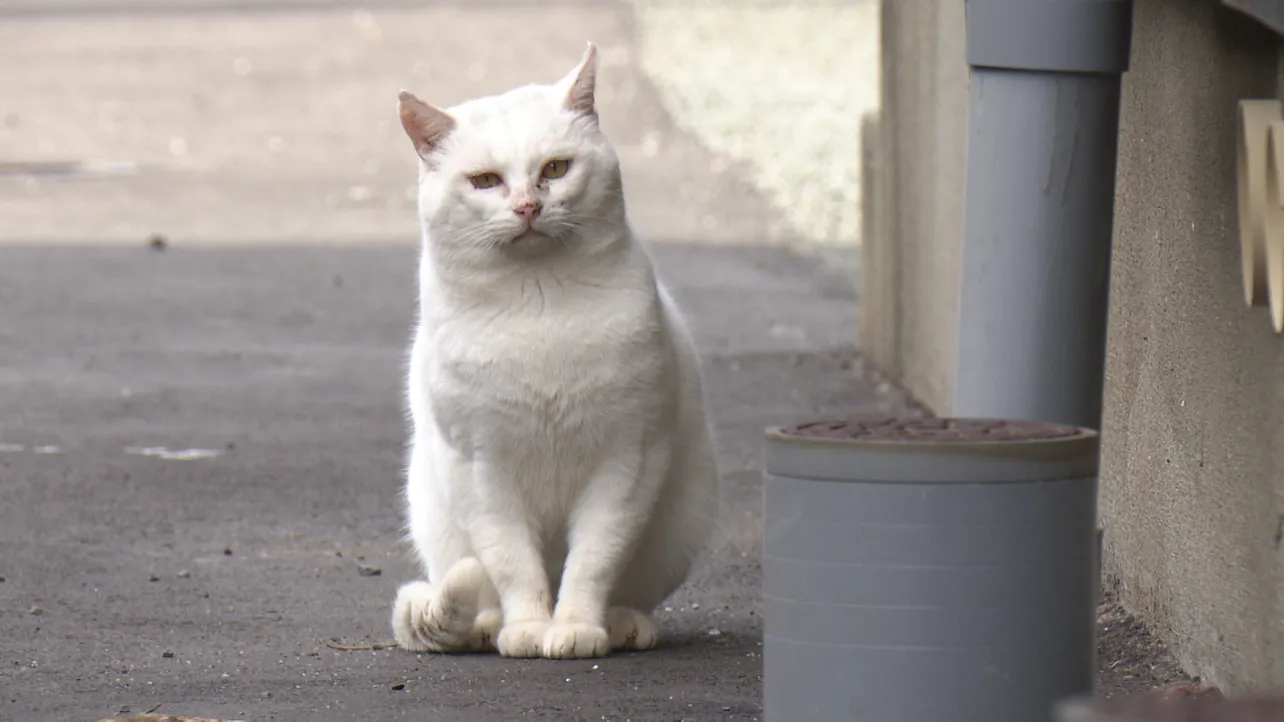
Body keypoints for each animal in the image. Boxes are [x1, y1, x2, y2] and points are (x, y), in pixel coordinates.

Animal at [385, 40, 719, 657]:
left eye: (556, 169)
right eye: (485, 180)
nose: (527, 207)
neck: (537, 309)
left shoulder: (627, 460)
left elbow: (593, 559)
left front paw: (576, 629)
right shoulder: (480, 468)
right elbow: (513, 562)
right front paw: (528, 629)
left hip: (683, 516)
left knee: (627, 588)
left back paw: (621, 624)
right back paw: (489, 627)